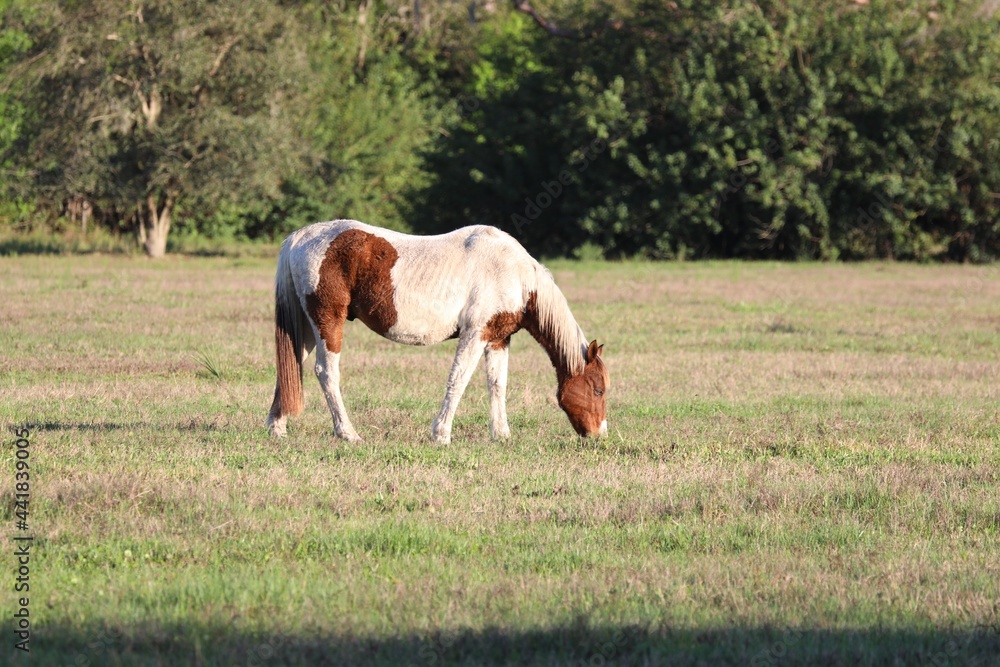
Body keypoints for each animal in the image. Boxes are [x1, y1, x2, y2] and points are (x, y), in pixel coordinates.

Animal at [266, 220, 609, 444]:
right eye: (598, 390)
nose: (599, 435)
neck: (513, 273)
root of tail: (299, 237)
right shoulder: (475, 334)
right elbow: (458, 380)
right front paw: (441, 434)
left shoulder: (498, 339)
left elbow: (497, 385)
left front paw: (501, 435)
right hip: (328, 322)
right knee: (326, 372)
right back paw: (348, 433)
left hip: (305, 327)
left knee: (290, 366)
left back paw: (277, 427)